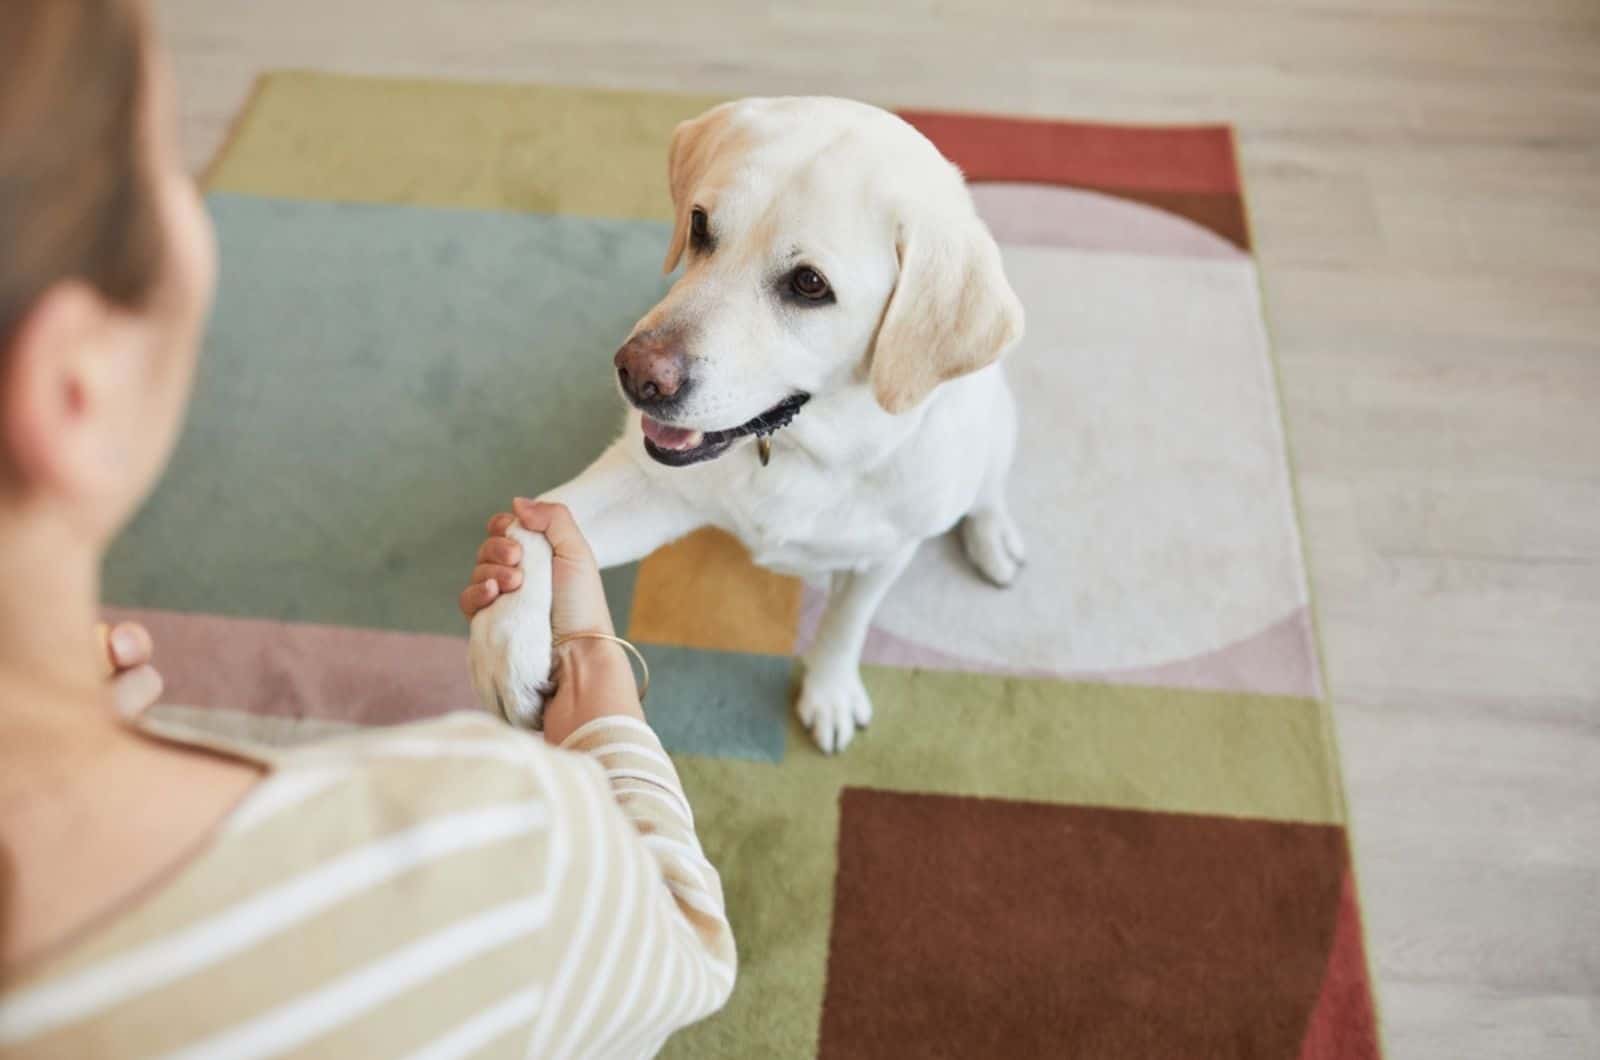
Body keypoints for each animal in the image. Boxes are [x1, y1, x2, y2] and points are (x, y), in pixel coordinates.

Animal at [470, 95, 1024, 752]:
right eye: (700, 224)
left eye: (810, 284)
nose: (637, 375)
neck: (802, 453)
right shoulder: (650, 485)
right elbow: (538, 522)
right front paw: (504, 643)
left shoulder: (884, 556)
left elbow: (845, 624)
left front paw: (830, 692)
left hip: (997, 428)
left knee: (988, 492)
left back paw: (994, 540)